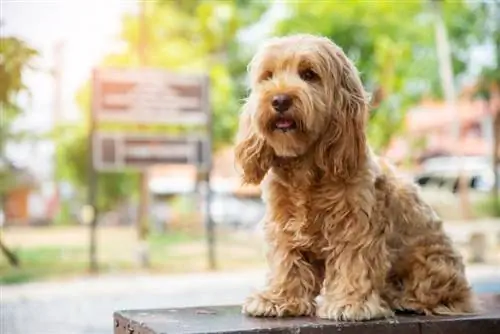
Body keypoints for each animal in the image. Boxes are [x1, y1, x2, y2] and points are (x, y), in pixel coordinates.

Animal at [234, 34, 476, 320]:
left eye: (309, 74)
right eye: (268, 76)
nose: (280, 100)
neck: (307, 170)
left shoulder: (356, 226)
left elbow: (354, 263)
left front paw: (350, 304)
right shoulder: (284, 226)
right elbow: (287, 262)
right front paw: (278, 298)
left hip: (432, 262)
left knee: (434, 295)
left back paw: (402, 298)